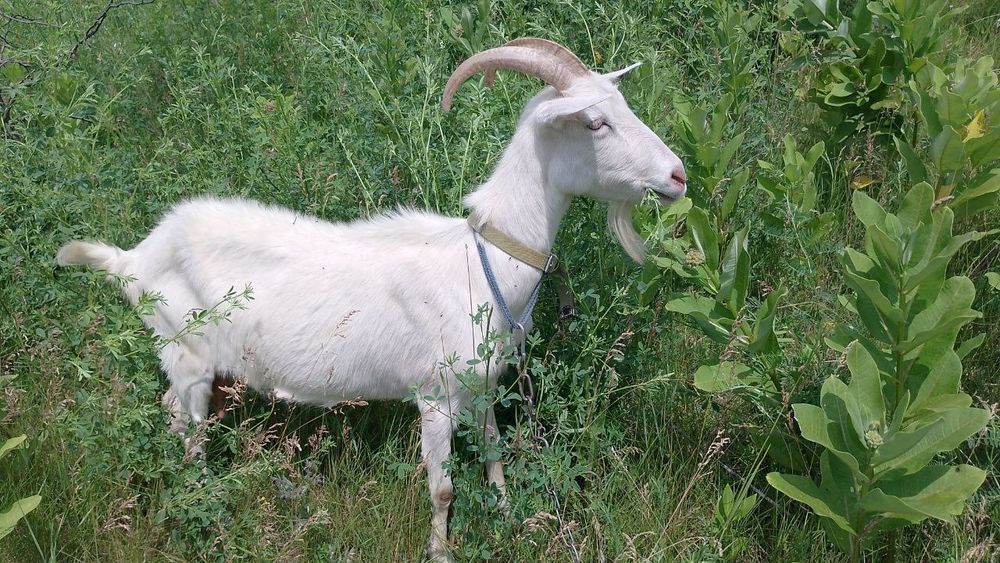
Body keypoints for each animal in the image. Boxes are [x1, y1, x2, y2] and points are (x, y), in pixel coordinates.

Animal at [56, 38, 686, 560]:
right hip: (186, 353)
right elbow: (442, 487)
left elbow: (494, 456)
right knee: (189, 433)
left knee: (170, 414)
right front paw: (441, 552)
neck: (479, 263)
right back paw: (201, 506)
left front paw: (510, 521)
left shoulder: (483, 384)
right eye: (597, 122)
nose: (678, 175)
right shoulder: (436, 394)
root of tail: (134, 258)